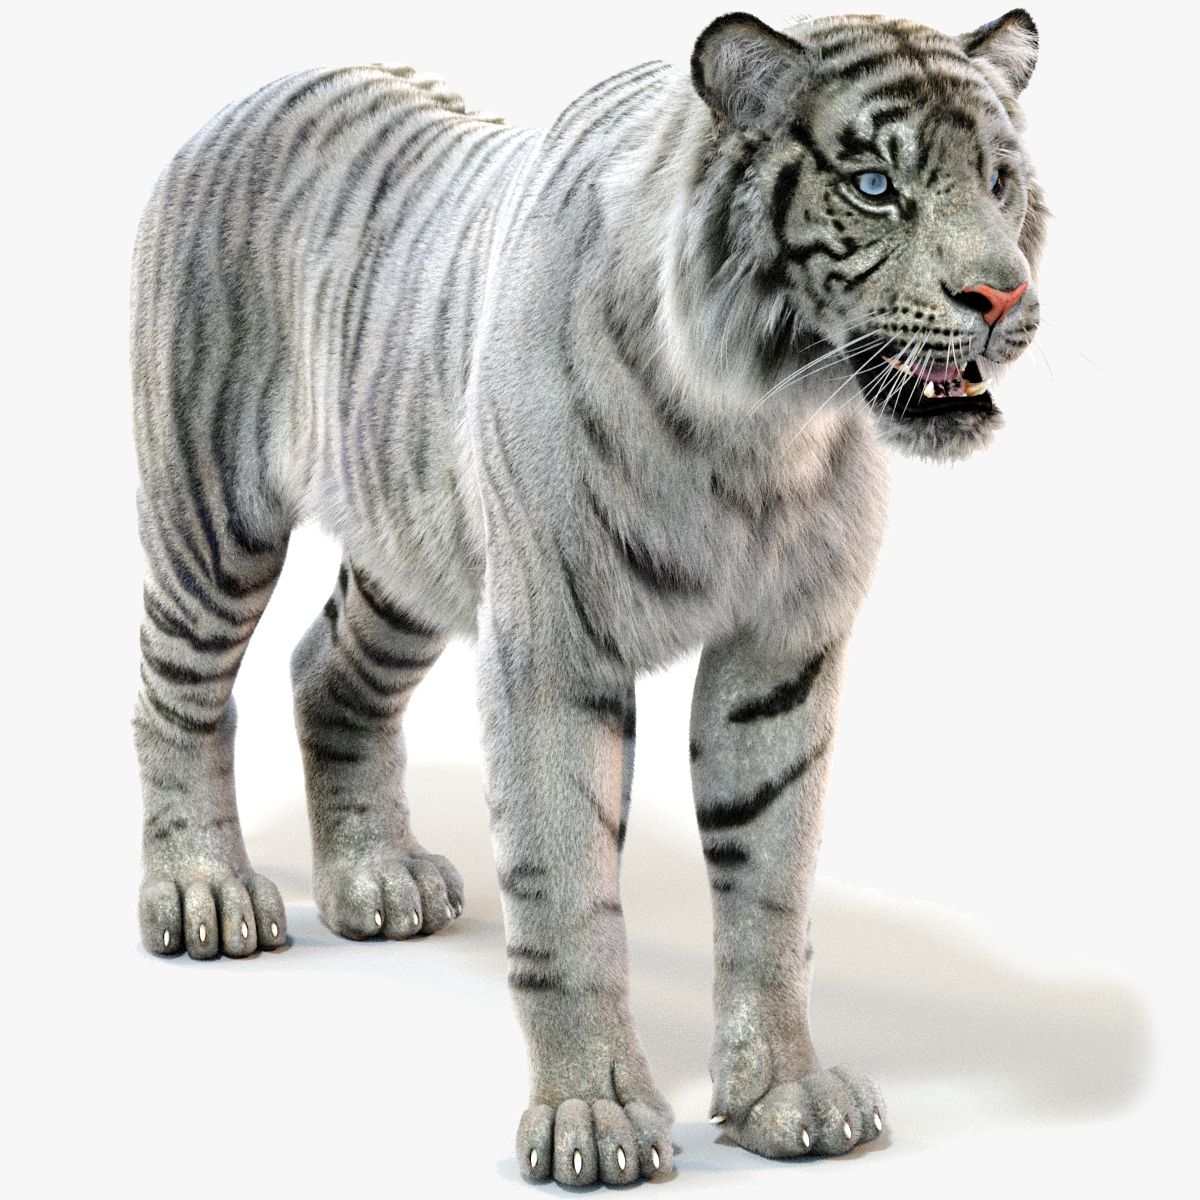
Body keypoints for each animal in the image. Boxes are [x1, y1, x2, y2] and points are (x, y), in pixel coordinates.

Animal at [130, 7, 1046, 1186]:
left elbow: (771, 883)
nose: (1004, 295)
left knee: (325, 672)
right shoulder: (552, 650)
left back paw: (377, 881)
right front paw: (593, 1119)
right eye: (875, 186)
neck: (764, 426)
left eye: (1000, 181)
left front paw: (784, 1096)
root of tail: (258, 88)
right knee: (176, 697)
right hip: (211, 515)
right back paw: (203, 893)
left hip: (410, 553)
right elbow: (567, 895)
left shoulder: (782, 654)